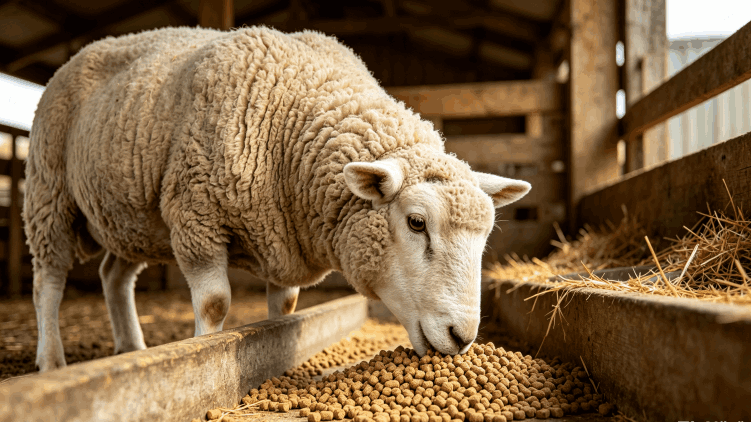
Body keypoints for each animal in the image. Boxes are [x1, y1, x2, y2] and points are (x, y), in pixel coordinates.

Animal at [24, 26, 531, 372]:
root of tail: (85, 51)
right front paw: (199, 350)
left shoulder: (281, 240)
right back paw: (51, 360)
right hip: (50, 192)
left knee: (114, 276)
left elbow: (284, 313)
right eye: (416, 223)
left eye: (486, 235)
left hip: (131, 216)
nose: (462, 336)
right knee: (48, 279)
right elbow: (214, 304)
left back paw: (132, 347)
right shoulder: (195, 214)